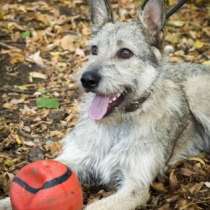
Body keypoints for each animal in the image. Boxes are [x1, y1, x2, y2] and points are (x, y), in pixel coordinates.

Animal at [0, 0, 210, 210]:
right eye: (94, 50)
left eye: (125, 53)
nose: (87, 79)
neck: (118, 122)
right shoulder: (76, 159)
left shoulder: (134, 186)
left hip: (195, 90)